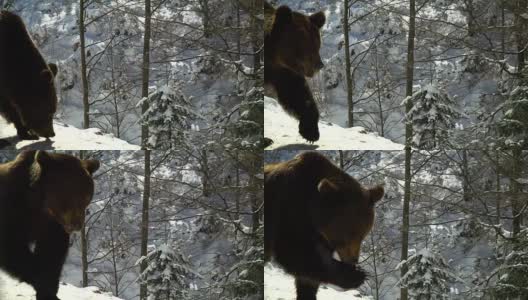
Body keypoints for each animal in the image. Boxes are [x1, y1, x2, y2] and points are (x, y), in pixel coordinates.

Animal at [0, 151, 100, 298]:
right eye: (68, 195)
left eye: (86, 197)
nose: (77, 224)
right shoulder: (12, 212)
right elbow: (12, 247)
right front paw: (41, 282)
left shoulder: (52, 225)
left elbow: (51, 252)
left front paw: (48, 290)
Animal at [264, 2, 326, 143]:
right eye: (305, 44)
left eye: (317, 44)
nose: (319, 65)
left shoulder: (283, 71)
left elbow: (296, 92)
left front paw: (310, 132)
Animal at [264, 151, 384, 298]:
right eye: (346, 236)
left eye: (362, 235)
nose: (353, 260)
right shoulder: (288, 212)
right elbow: (296, 252)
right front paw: (356, 275)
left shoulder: (320, 237)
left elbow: (309, 278)